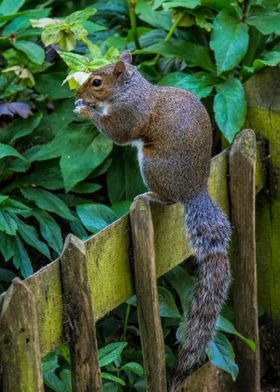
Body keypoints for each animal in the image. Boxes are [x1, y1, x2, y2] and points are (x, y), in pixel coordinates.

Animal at [73, 50, 231, 390]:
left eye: (97, 82)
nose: (78, 93)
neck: (131, 91)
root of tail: (194, 189)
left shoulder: (129, 116)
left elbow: (117, 134)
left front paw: (86, 111)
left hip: (152, 164)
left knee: (168, 198)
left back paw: (149, 196)